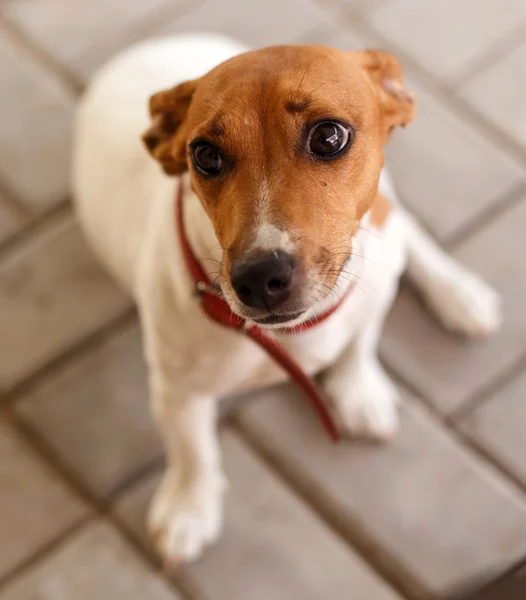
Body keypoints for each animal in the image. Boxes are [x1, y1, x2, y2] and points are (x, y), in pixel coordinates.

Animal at [73, 32, 504, 564]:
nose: (259, 277)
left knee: (411, 231)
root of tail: (165, 42)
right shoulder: (177, 391)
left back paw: (458, 293)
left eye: (329, 136)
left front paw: (359, 389)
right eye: (205, 155)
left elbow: (360, 342)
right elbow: (193, 452)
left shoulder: (372, 294)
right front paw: (189, 508)